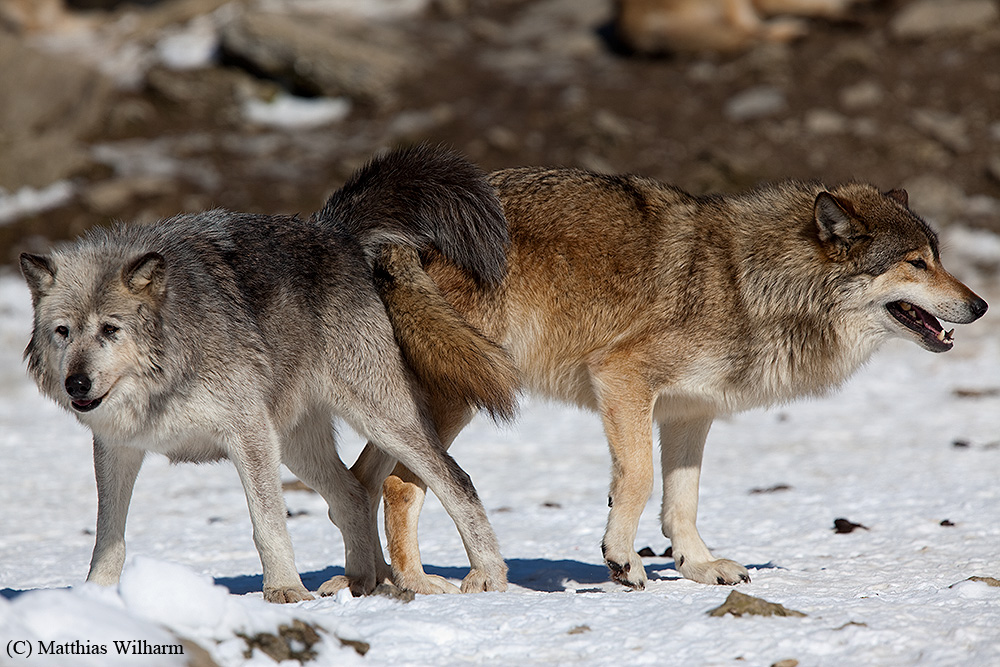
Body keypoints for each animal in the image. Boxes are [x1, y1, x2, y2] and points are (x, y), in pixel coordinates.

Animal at [21, 146, 516, 604]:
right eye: (63, 332)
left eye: (110, 329)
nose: (76, 384)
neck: (167, 371)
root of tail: (335, 233)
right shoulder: (116, 449)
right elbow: (109, 540)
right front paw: (95, 598)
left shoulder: (249, 434)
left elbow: (268, 524)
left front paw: (284, 590)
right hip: (298, 445)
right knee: (353, 494)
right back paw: (360, 584)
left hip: (380, 422)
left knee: (455, 482)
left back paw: (488, 577)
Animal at [352, 167, 984, 596]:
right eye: (916, 263)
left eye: (938, 256)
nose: (979, 306)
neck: (752, 285)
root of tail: (396, 238)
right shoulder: (621, 377)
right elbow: (637, 479)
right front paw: (622, 560)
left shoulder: (689, 412)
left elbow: (683, 501)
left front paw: (698, 567)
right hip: (467, 389)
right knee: (402, 484)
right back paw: (426, 583)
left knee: (364, 477)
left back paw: (371, 582)